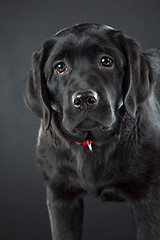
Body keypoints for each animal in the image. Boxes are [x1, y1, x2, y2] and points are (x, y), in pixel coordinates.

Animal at [24, 23, 160, 240]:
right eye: (60, 66)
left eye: (106, 61)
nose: (84, 99)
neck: (92, 143)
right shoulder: (60, 196)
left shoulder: (149, 198)